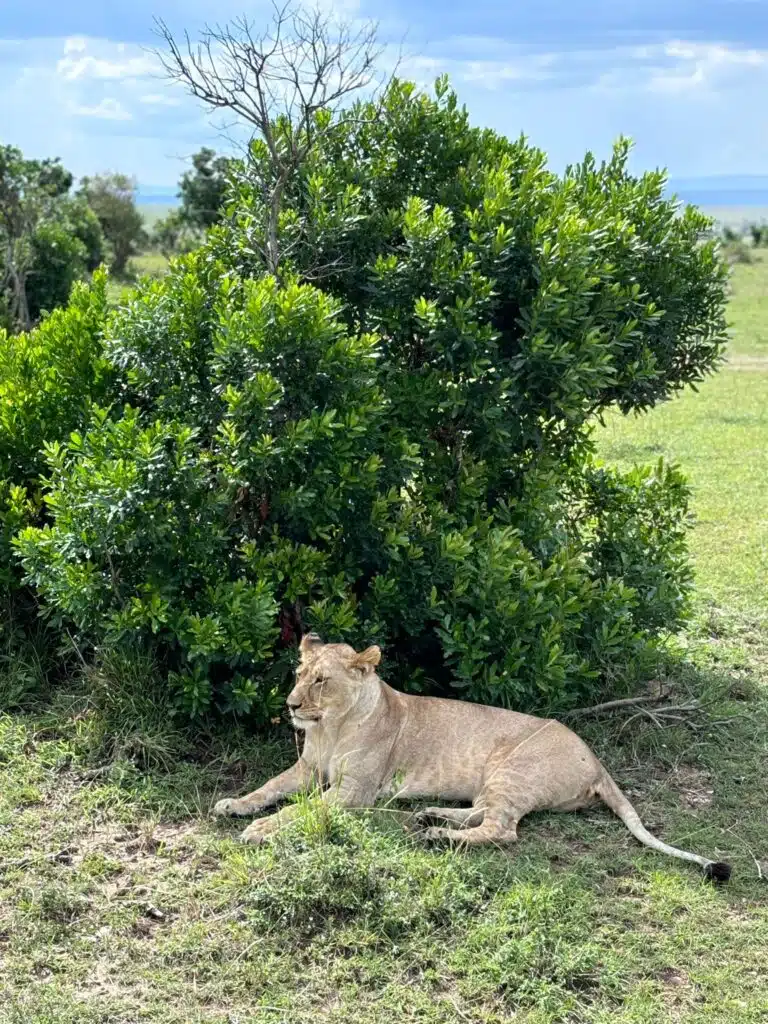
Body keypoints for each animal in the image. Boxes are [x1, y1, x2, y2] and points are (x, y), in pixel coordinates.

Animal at [213, 634, 731, 881]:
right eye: (300, 673)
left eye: (321, 680)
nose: (290, 706)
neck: (330, 728)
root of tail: (598, 760)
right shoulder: (306, 769)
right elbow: (269, 788)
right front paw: (234, 805)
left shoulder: (354, 792)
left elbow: (300, 813)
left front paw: (260, 829)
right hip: (494, 780)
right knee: (483, 813)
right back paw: (429, 816)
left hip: (511, 770)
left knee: (502, 830)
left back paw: (437, 836)